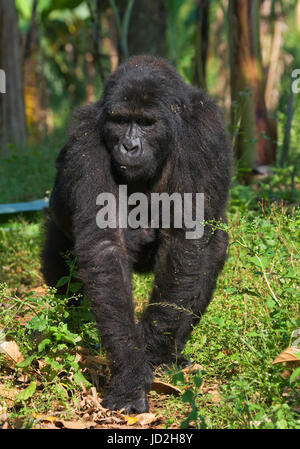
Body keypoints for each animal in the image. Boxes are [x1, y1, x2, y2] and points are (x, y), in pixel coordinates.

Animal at [41, 55, 232, 412]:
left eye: (145, 123)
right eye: (120, 121)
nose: (129, 145)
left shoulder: (204, 133)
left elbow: (186, 239)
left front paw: (153, 353)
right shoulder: (87, 138)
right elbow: (104, 247)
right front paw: (130, 374)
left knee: (214, 245)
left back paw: (172, 354)